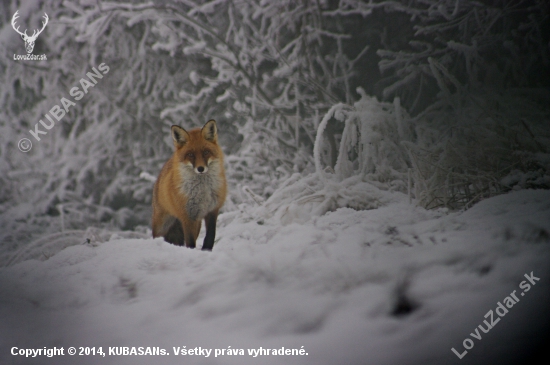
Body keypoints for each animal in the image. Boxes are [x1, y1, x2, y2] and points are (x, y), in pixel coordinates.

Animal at [153, 119, 226, 250]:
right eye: (191, 154)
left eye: (206, 152)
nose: (201, 168)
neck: (203, 192)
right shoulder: (187, 216)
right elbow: (190, 242)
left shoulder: (212, 210)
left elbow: (210, 236)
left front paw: (206, 250)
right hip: (162, 225)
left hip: (197, 224)